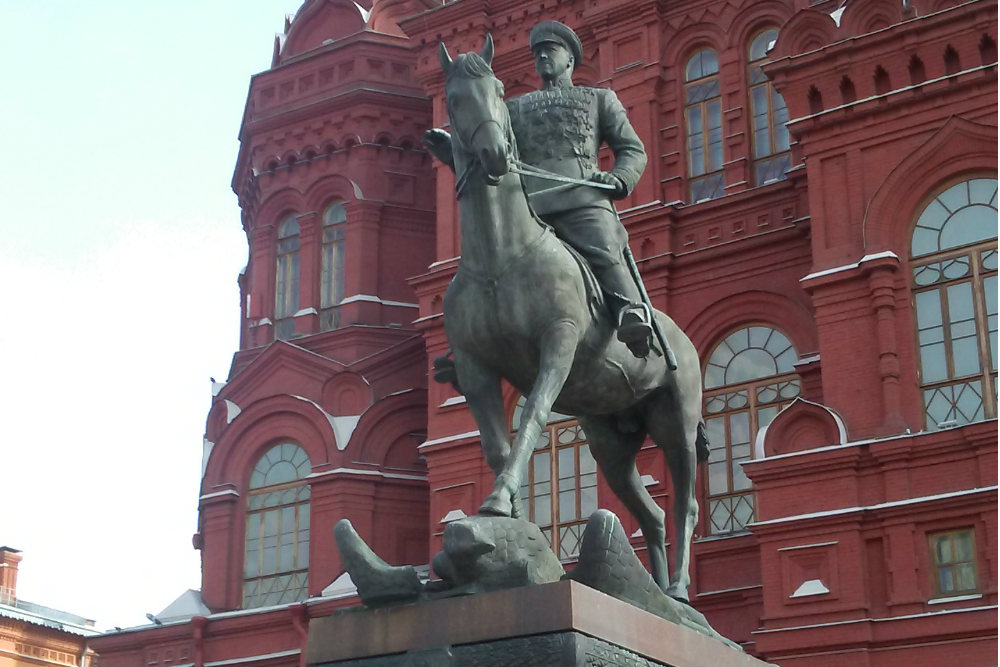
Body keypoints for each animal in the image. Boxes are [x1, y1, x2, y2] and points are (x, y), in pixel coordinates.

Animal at [434, 35, 708, 600]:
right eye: (452, 100)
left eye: (499, 91)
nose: (495, 155)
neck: (500, 257)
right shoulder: (473, 367)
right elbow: (495, 447)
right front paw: (509, 520)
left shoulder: (557, 344)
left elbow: (534, 416)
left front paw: (499, 503)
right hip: (609, 441)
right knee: (650, 514)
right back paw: (653, 590)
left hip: (676, 423)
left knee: (686, 502)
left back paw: (677, 591)